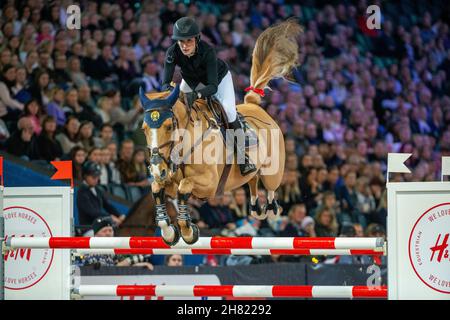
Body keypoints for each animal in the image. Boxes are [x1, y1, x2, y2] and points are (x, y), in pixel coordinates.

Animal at [141, 20, 302, 245]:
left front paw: (188, 231)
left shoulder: (208, 183)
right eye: (144, 129)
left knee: (270, 185)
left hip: (273, 170)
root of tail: (255, 105)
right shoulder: (167, 179)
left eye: (169, 126)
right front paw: (169, 232)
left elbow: (184, 187)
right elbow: (157, 189)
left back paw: (270, 206)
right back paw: (255, 206)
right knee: (252, 179)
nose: (156, 169)